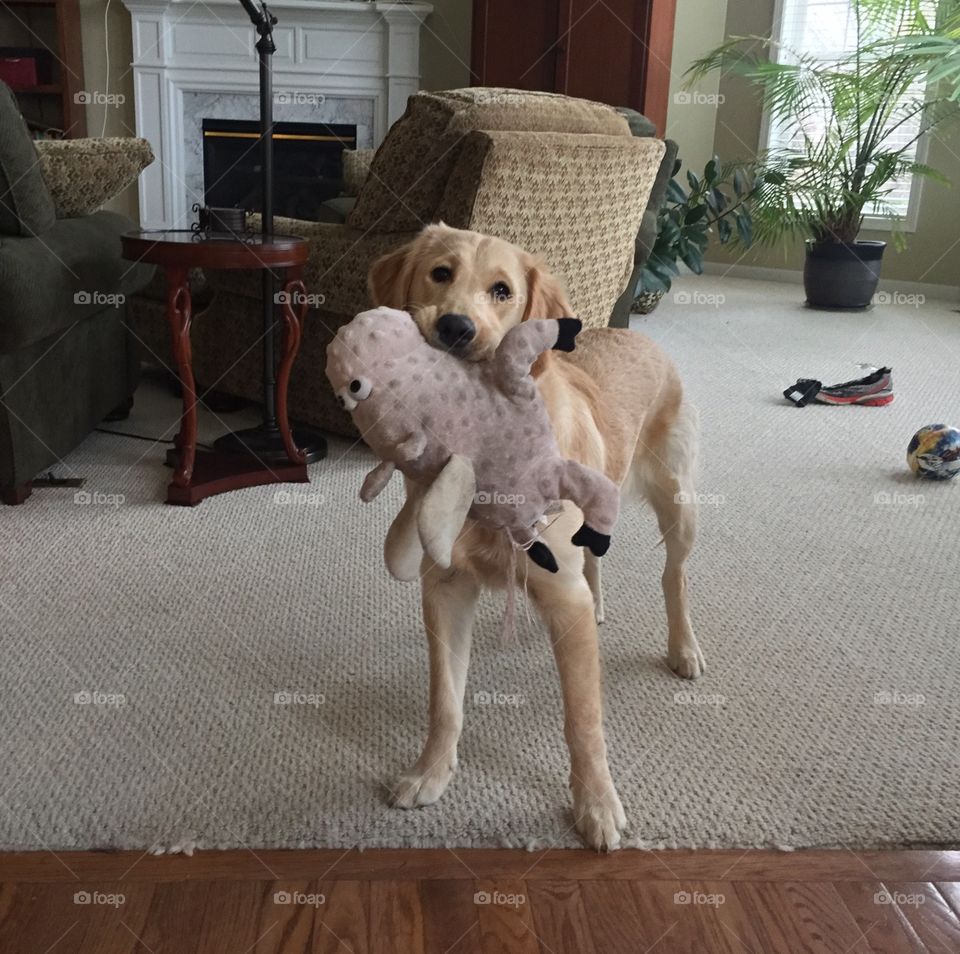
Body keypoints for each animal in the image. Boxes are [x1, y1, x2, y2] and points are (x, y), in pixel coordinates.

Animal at [364, 223, 700, 848]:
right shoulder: (445, 588)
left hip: (680, 506)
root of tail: (637, 334)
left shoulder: (561, 599)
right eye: (440, 273)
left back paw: (684, 648)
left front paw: (596, 804)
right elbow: (445, 701)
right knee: (597, 560)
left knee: (676, 577)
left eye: (502, 291)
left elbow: (583, 719)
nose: (455, 327)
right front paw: (430, 773)